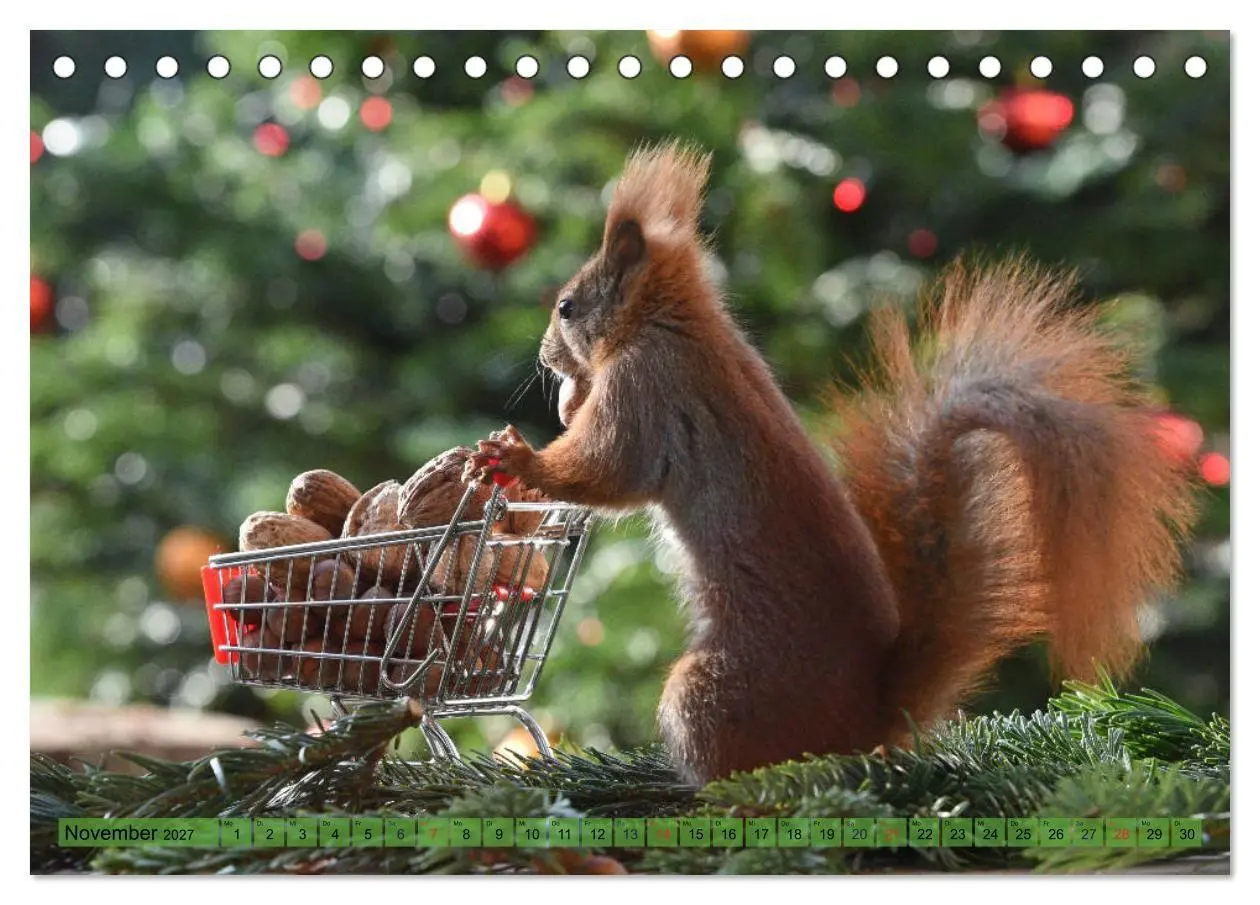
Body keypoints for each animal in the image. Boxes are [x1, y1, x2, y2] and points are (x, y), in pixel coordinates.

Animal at [467, 141, 1199, 786]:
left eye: (567, 307)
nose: (546, 358)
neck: (673, 323)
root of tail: (868, 719)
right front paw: (562, 408)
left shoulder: (648, 391)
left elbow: (608, 470)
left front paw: (519, 456)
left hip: (710, 691)